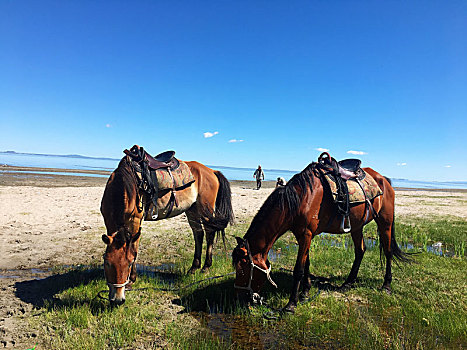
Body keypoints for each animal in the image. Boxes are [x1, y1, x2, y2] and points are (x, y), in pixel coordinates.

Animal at [101, 152, 234, 304]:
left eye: (128, 265)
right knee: (198, 234)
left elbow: (133, 249)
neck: (125, 184)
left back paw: (206, 267)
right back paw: (194, 268)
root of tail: (212, 171)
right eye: (107, 263)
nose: (117, 299)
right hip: (192, 210)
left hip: (206, 211)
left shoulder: (135, 222)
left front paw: (132, 280)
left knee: (209, 234)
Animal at [232, 163, 412, 314]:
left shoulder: (306, 235)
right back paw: (348, 283)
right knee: (360, 250)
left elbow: (298, 269)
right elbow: (307, 264)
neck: (301, 199)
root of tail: (384, 180)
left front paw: (291, 304)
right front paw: (305, 292)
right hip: (357, 226)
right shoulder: (303, 235)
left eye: (243, 270)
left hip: (385, 222)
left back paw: (386, 285)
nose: (240, 297)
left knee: (388, 251)